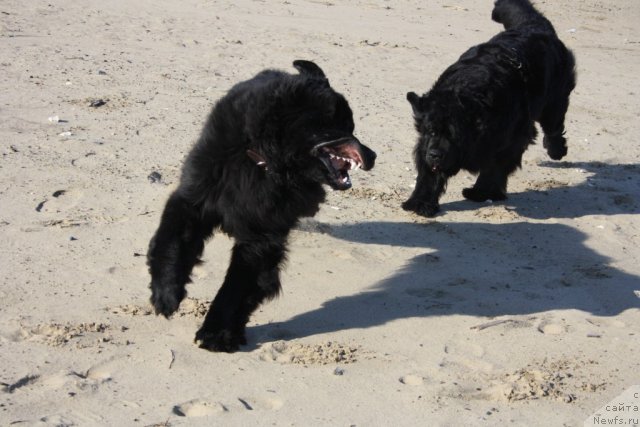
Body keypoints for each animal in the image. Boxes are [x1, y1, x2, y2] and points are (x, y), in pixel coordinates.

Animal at [146, 61, 376, 354]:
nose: (373, 155)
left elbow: (234, 288)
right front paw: (166, 294)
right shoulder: (194, 199)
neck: (262, 159)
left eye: (351, 124)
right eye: (342, 125)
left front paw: (216, 333)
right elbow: (172, 243)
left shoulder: (261, 236)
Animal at [404, 0, 576, 219]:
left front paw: (481, 192)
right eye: (431, 131)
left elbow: (494, 168)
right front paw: (420, 202)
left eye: (454, 135)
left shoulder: (512, 140)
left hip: (553, 101)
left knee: (554, 127)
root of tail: (534, 27)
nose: (435, 154)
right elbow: (428, 174)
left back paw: (556, 151)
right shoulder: (426, 144)